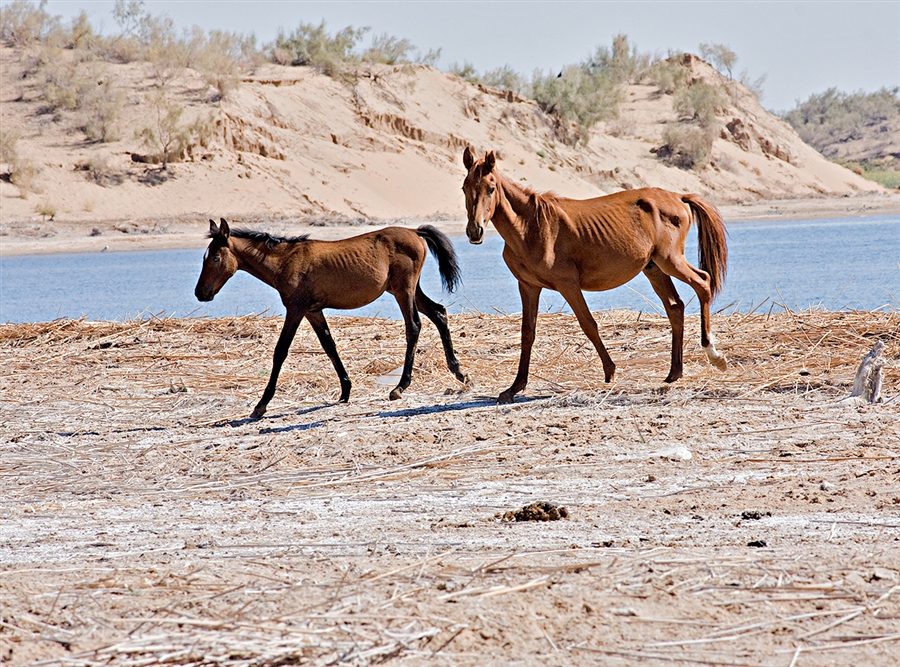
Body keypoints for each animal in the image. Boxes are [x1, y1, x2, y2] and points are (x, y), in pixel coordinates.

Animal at [195, 219, 464, 418]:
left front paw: (261, 405)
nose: (200, 293)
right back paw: (458, 371)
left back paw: (400, 386)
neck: (285, 261)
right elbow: (329, 345)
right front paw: (345, 390)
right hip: (407, 289)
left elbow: (280, 351)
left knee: (414, 326)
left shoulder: (296, 309)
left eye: (215, 258)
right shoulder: (313, 311)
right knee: (439, 313)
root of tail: (414, 231)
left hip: (403, 290)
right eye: (204, 257)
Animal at [460, 148, 728, 404]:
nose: (475, 231)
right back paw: (674, 372)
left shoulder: (568, 285)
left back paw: (714, 354)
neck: (531, 227)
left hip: (670, 260)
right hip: (654, 268)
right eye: (464, 188)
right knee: (675, 307)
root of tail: (678, 197)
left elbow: (588, 324)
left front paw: (610, 371)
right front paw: (514, 388)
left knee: (703, 283)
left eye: (491, 188)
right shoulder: (528, 286)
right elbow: (528, 333)